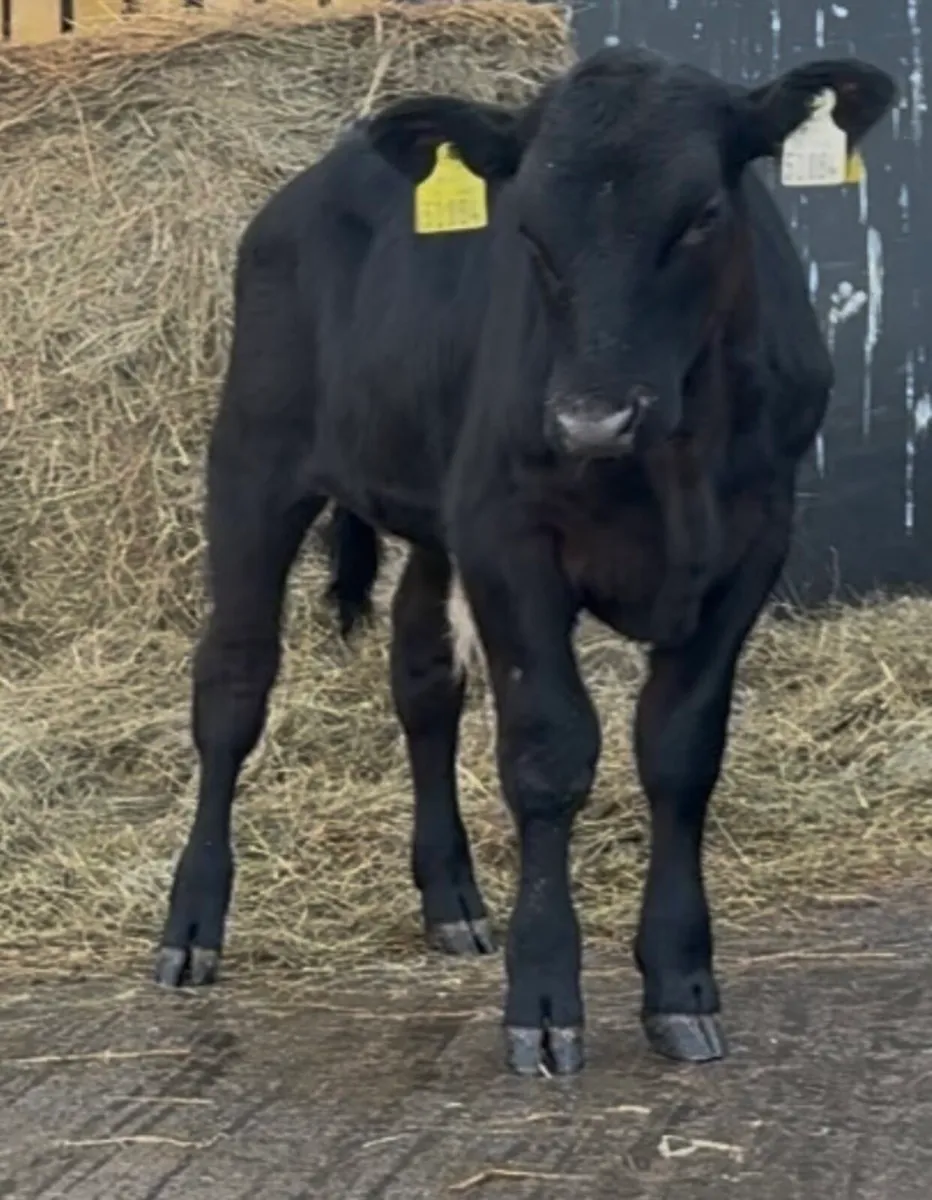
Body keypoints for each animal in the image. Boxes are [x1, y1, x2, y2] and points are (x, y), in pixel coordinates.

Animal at [153, 45, 896, 1076]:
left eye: (703, 214)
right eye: (529, 230)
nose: (590, 418)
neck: (674, 460)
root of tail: (307, 186)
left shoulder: (751, 545)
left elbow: (681, 753)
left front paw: (681, 986)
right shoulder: (510, 540)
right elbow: (549, 754)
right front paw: (544, 999)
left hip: (432, 513)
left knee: (423, 679)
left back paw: (452, 903)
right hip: (253, 464)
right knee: (232, 684)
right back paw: (191, 929)